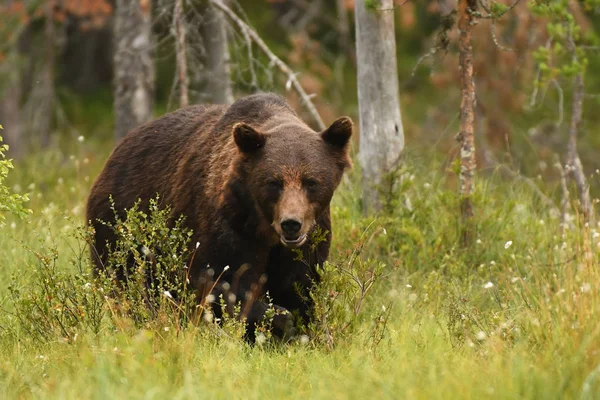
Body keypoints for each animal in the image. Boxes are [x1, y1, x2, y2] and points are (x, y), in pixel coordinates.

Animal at [86, 93, 354, 340]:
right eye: (273, 182)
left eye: (311, 181)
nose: (291, 224)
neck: (265, 229)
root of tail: (114, 154)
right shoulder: (228, 226)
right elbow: (220, 285)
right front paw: (277, 319)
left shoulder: (309, 242)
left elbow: (299, 288)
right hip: (120, 227)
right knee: (129, 283)